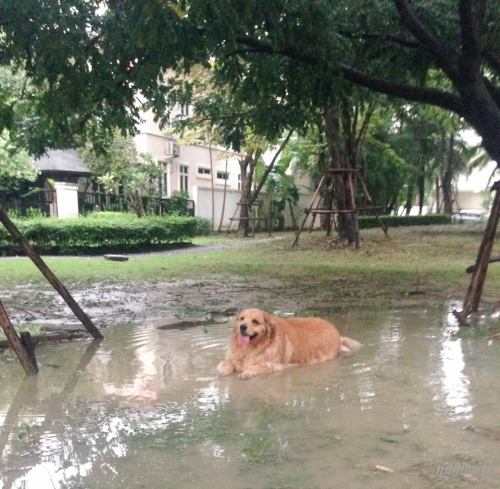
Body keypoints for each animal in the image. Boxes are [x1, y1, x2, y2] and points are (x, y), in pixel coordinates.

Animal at [217, 306, 362, 380]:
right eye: (241, 319)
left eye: (255, 321)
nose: (242, 327)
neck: (252, 347)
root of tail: (334, 328)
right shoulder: (233, 358)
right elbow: (228, 363)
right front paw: (223, 370)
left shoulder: (275, 365)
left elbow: (256, 366)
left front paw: (247, 372)